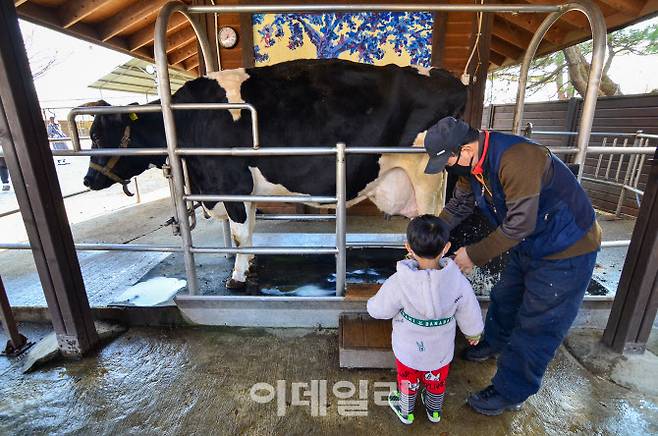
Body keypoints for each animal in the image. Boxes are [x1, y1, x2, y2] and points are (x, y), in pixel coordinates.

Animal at [82, 58, 466, 290]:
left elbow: (239, 235)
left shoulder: (232, 185)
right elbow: (248, 232)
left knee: (433, 221)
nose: (88, 180)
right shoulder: (244, 191)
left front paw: (237, 278)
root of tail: (449, 77)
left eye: (98, 135)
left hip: (426, 176)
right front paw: (250, 263)